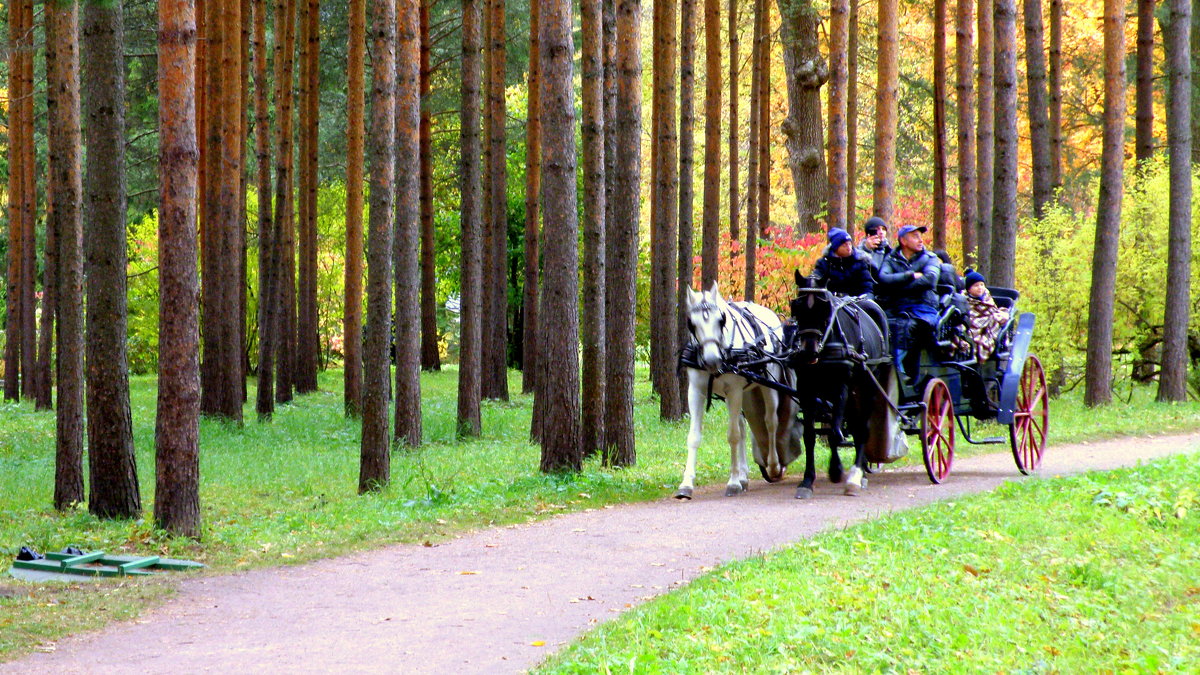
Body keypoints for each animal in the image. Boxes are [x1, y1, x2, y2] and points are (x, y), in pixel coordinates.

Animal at [676, 281, 796, 497]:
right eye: (692, 323)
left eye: (720, 320)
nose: (712, 360)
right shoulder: (696, 390)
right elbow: (694, 437)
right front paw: (686, 484)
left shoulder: (734, 390)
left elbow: (733, 436)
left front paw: (732, 483)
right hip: (745, 393)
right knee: (742, 425)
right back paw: (743, 477)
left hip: (766, 385)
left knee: (770, 422)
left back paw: (773, 466)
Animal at [787, 270, 892, 497]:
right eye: (797, 306)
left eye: (825, 307)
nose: (809, 350)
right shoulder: (806, 390)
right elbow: (810, 435)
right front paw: (807, 481)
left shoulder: (841, 388)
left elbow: (836, 434)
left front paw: (836, 470)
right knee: (851, 425)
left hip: (866, 386)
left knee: (863, 428)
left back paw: (858, 474)